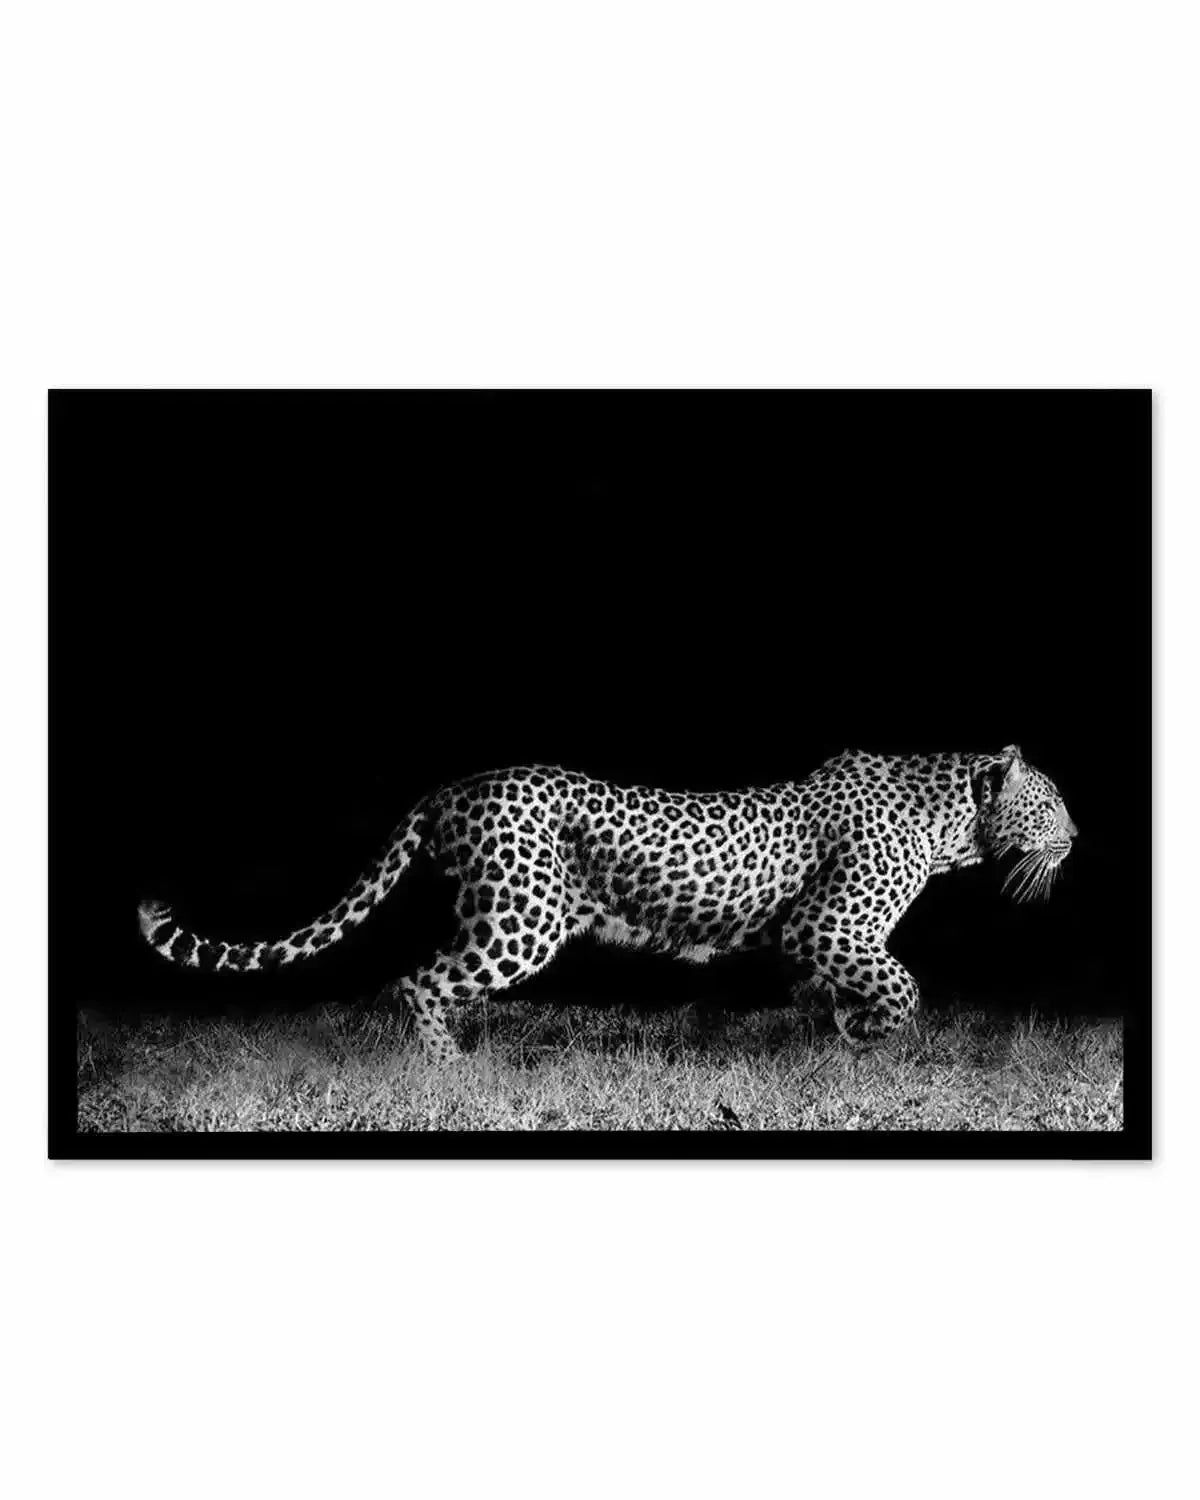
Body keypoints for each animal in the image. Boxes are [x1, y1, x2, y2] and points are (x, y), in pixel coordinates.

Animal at [138, 744, 1076, 1062]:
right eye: (1055, 802)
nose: (1080, 832)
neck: (952, 821)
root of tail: (451, 787)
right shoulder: (827, 926)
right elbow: (904, 986)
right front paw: (870, 1034)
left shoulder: (823, 940)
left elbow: (843, 989)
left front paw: (839, 1028)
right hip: (522, 918)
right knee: (419, 981)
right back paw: (450, 1070)